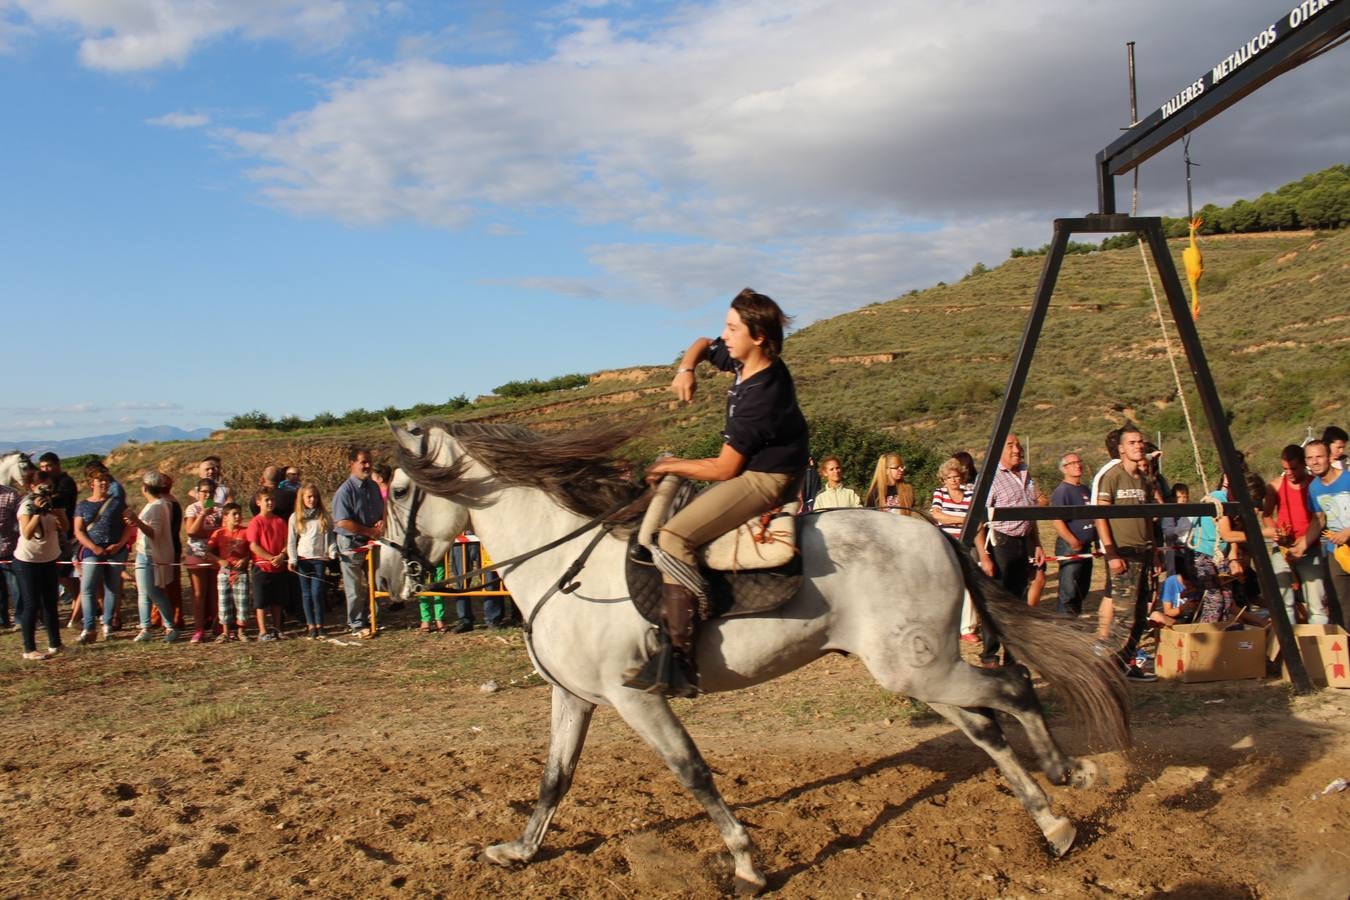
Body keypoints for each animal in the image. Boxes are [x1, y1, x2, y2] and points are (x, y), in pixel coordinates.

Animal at [383, 420, 1128, 895]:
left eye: (399, 490)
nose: (391, 578)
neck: (566, 565)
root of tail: (936, 535)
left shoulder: (635, 697)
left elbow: (693, 774)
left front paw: (745, 864)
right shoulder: (575, 696)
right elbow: (554, 780)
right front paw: (518, 850)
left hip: (919, 668)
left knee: (1013, 689)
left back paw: (1068, 777)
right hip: (921, 670)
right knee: (986, 726)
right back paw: (1053, 822)